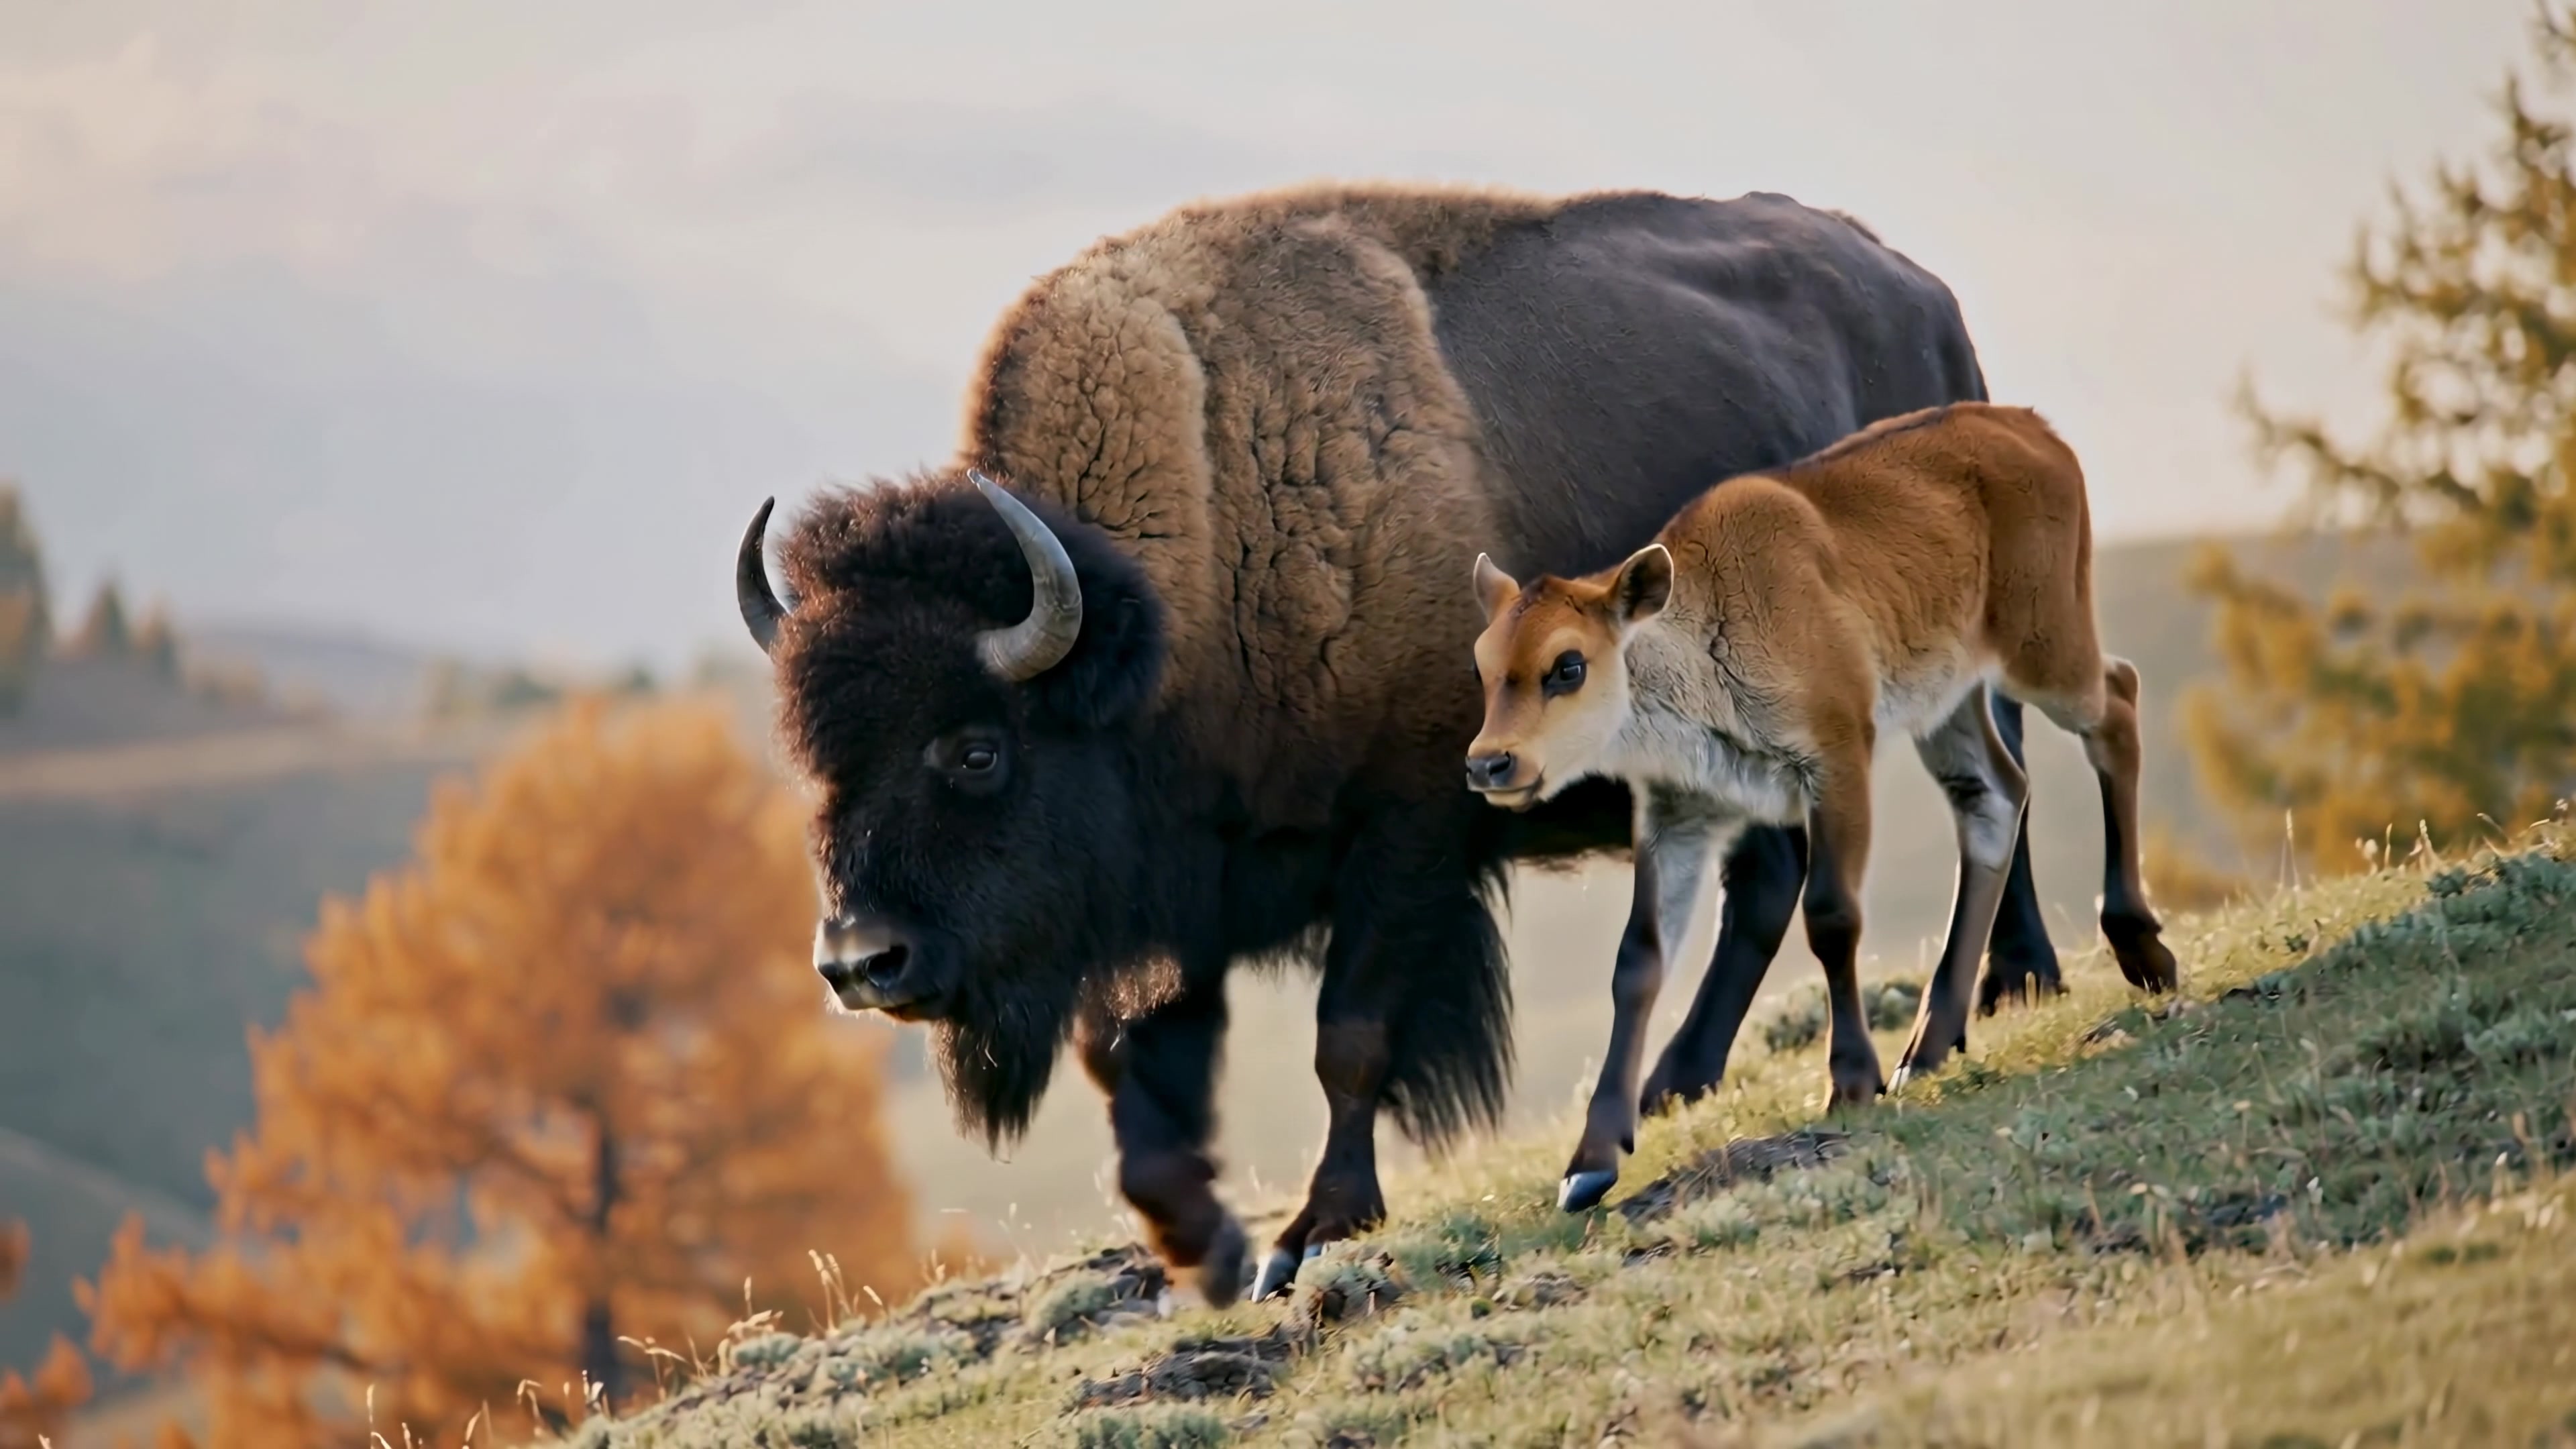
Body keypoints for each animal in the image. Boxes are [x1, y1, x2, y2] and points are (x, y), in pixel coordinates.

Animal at [730, 183, 2069, 1305]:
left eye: (974, 750)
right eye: (814, 759)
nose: (860, 962)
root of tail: (1924, 297)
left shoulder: (1405, 834)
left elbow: (1351, 1040)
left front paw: (1315, 1231)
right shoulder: (1180, 901)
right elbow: (1138, 1080)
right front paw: (1211, 1253)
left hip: (1963, 651)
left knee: (1992, 789)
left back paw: (2015, 986)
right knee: (1777, 877)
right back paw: (1681, 1080)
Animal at [1462, 403, 2181, 1203]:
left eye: (1568, 665)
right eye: (1485, 665)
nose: (1490, 763)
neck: (1699, 634)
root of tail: (2033, 427)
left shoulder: (1836, 764)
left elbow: (1832, 916)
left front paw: (1851, 1081)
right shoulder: (1679, 815)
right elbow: (1639, 962)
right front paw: (1589, 1165)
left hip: (2045, 649)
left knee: (2117, 703)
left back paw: (2143, 951)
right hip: (1950, 703)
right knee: (1995, 796)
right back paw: (1926, 1049)